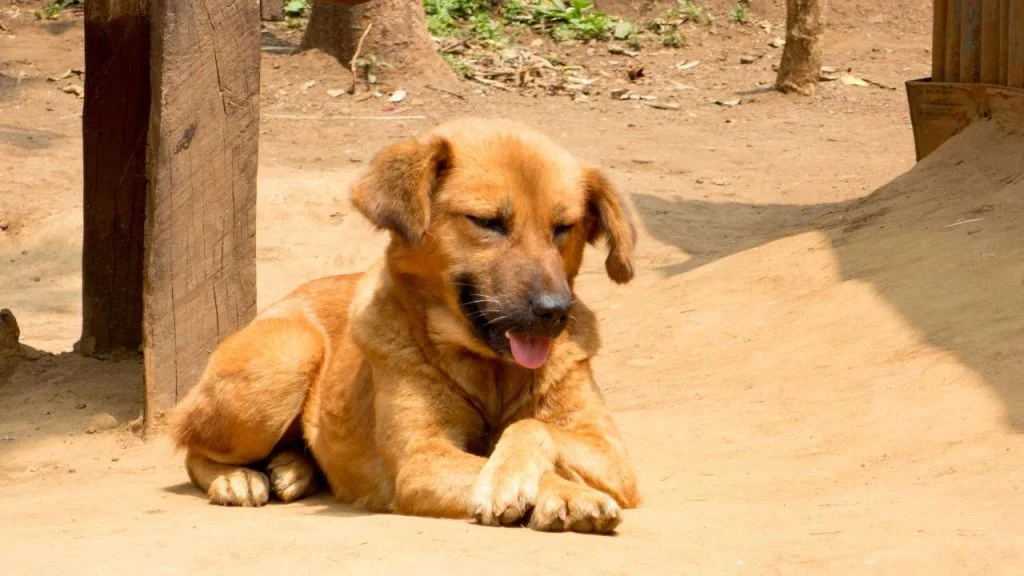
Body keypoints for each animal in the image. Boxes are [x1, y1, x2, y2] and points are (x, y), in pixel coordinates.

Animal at [172, 117, 643, 532]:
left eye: (563, 228)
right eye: (488, 222)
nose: (554, 311)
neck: (490, 370)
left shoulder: (615, 457)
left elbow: (532, 425)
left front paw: (525, 476)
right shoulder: (422, 461)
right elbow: (511, 454)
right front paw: (551, 490)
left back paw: (292, 467)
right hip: (287, 354)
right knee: (191, 446)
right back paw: (234, 477)